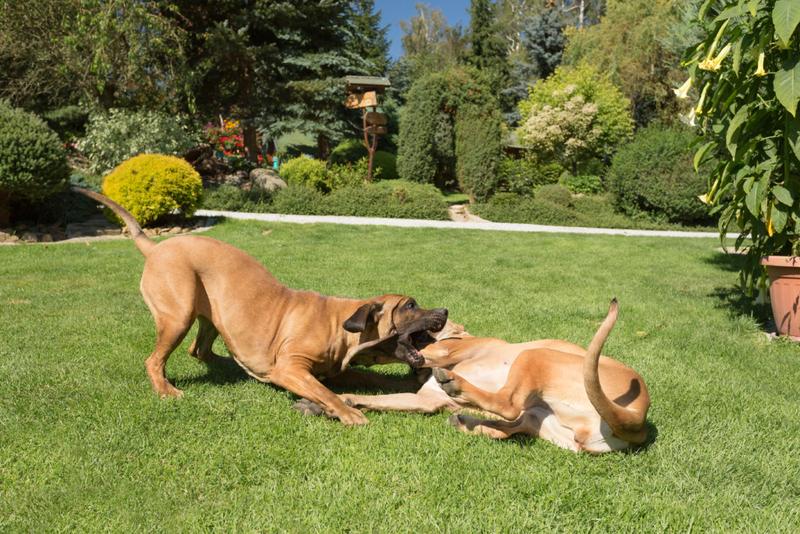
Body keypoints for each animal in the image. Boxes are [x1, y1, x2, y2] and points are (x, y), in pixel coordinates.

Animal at [72, 188, 446, 428]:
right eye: (411, 305)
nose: (444, 312)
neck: (340, 326)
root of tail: (154, 247)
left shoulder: (335, 368)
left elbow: (364, 377)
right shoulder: (292, 369)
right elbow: (325, 392)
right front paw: (346, 412)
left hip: (212, 314)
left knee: (199, 350)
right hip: (178, 316)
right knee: (155, 360)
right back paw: (166, 390)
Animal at [296, 302, 648, 452]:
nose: (443, 311)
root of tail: (638, 418)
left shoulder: (441, 353)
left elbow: (379, 345)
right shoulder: (424, 400)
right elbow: (363, 398)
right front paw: (327, 404)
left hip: (535, 355)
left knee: (507, 404)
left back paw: (460, 393)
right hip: (542, 419)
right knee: (512, 425)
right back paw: (468, 422)